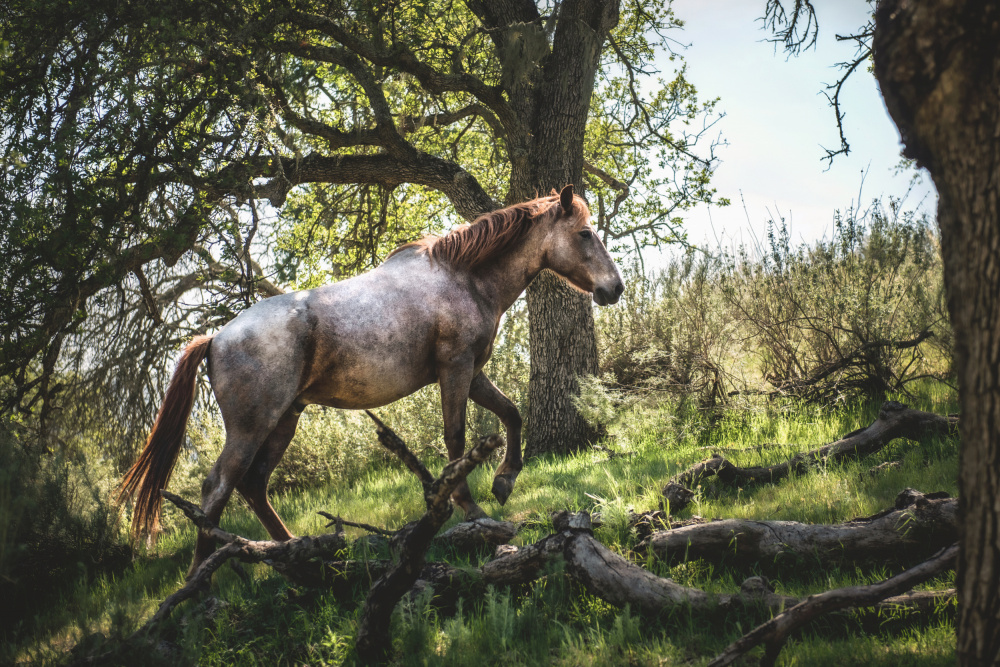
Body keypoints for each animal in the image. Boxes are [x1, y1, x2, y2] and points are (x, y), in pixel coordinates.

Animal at [117, 185, 624, 576]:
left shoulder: (473, 372)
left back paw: (298, 552)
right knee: (218, 487)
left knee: (254, 485)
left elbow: (511, 414)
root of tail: (216, 338)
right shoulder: (456, 369)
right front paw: (474, 512)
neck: (462, 277)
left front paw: (504, 481)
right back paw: (203, 576)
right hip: (252, 425)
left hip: (285, 419)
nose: (614, 288)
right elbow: (457, 441)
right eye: (584, 233)